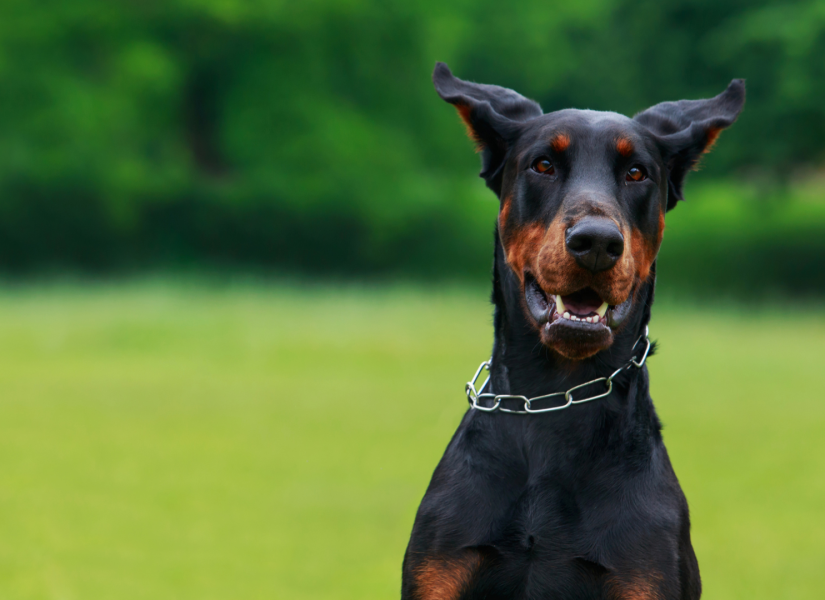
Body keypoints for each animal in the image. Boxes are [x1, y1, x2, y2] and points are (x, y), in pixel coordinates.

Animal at [402, 64, 744, 600]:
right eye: (543, 165)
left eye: (636, 172)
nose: (597, 242)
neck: (555, 400)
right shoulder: (440, 570)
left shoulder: (642, 575)